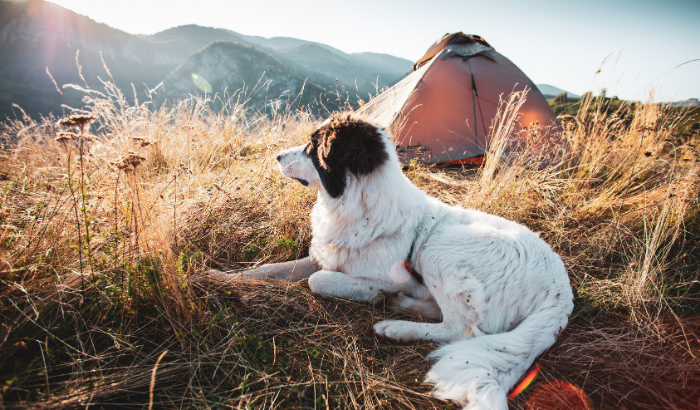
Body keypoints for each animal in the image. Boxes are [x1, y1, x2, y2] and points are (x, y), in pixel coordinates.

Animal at [243, 113, 572, 408]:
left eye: (312, 146)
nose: (276, 155)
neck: (357, 205)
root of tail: (561, 292)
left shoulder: (385, 276)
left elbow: (319, 280)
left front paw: (374, 297)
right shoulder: (322, 255)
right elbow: (273, 269)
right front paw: (238, 278)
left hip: (438, 248)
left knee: (459, 329)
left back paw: (396, 328)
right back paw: (403, 306)